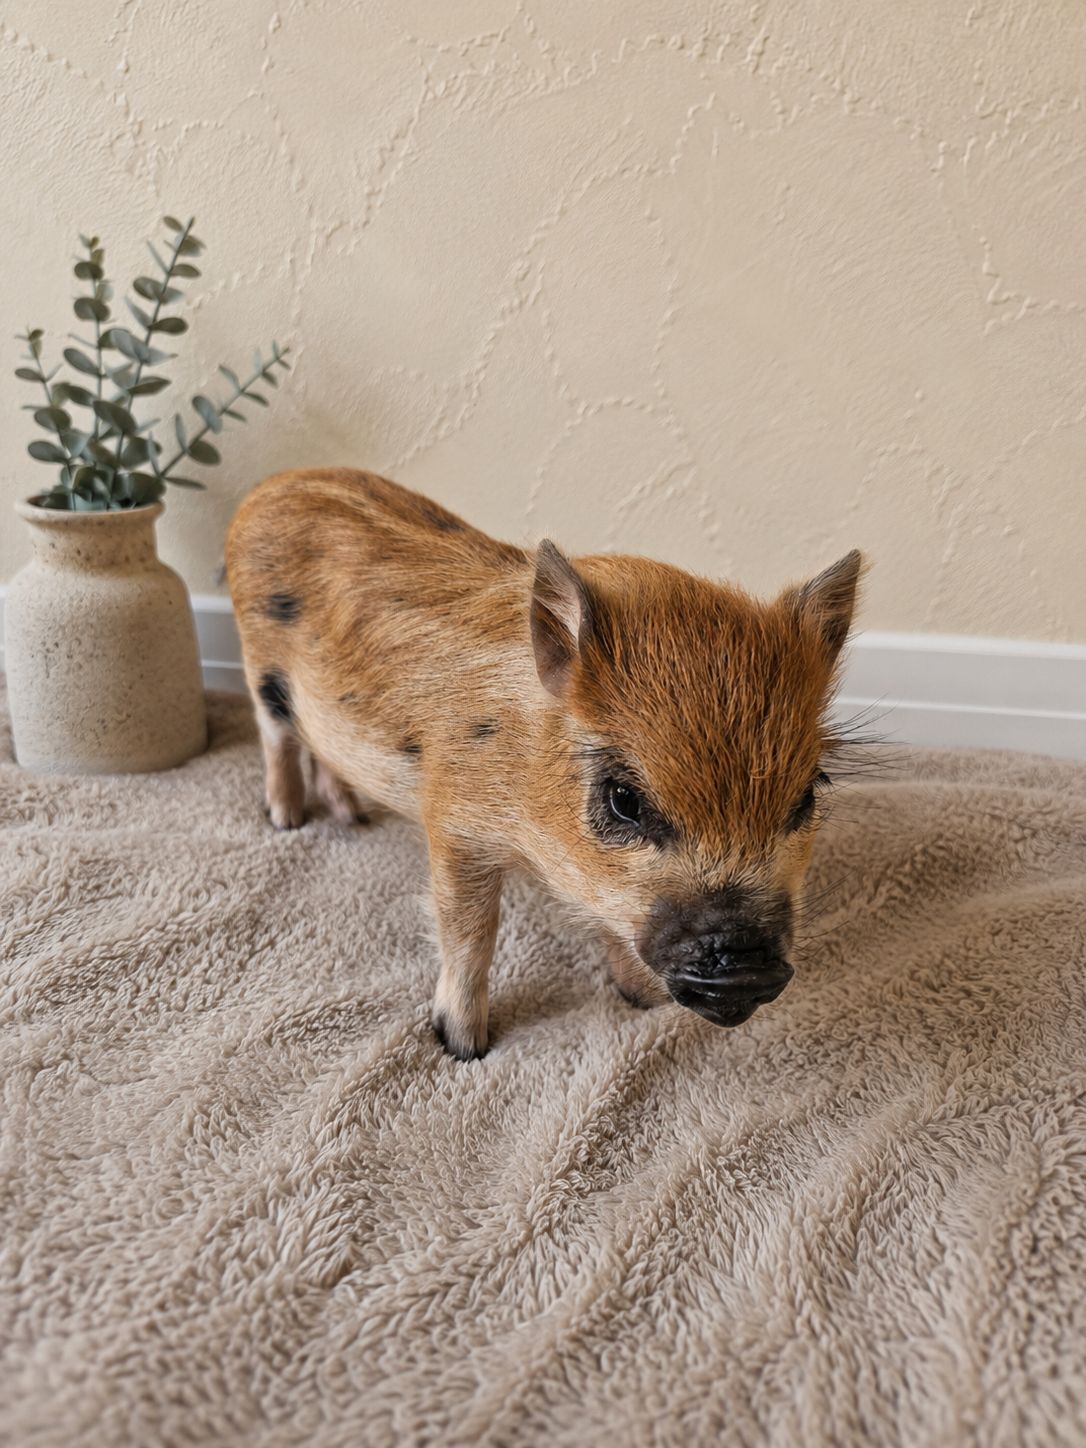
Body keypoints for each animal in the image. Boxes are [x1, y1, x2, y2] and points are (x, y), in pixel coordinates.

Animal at [226, 469, 862, 1060]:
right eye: (625, 799)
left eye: (807, 795)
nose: (744, 970)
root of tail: (269, 487)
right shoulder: (453, 822)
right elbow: (470, 931)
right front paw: (463, 1046)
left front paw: (638, 1002)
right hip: (260, 669)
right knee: (276, 738)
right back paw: (287, 820)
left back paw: (353, 817)